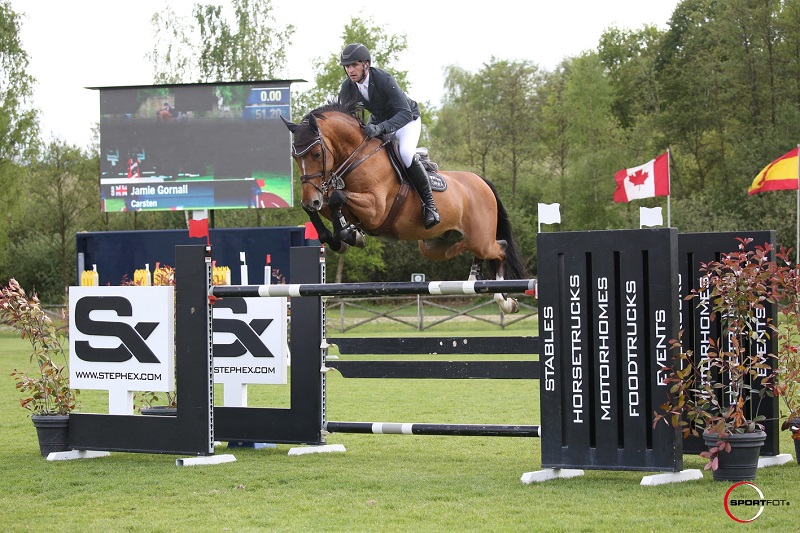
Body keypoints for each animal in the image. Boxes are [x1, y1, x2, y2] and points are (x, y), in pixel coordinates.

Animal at [281, 101, 529, 313]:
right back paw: (475, 280)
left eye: (316, 153)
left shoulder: (376, 209)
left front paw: (347, 235)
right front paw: (341, 237)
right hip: (435, 246)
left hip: (480, 238)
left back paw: (505, 301)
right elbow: (325, 205)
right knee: (473, 248)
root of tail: (481, 181)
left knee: (500, 248)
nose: (310, 199)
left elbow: (337, 198)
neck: (358, 157)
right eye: (294, 156)